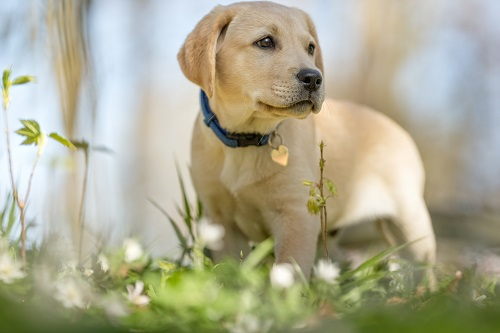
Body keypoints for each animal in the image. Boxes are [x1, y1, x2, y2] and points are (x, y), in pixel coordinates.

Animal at [178, 1, 436, 280]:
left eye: (310, 48)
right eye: (265, 42)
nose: (314, 78)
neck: (246, 138)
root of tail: (399, 130)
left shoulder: (296, 216)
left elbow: (287, 272)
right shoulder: (221, 222)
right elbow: (229, 273)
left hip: (411, 223)